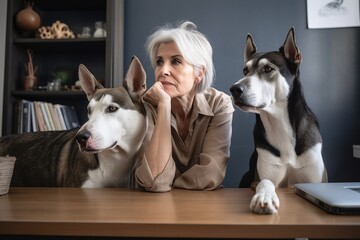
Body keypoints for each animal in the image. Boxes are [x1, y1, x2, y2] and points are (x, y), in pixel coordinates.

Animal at [231, 28, 326, 214]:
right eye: (245, 70)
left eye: (268, 68)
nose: (234, 89)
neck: (279, 124)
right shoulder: (259, 177)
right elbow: (265, 182)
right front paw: (264, 197)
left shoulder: (317, 180)